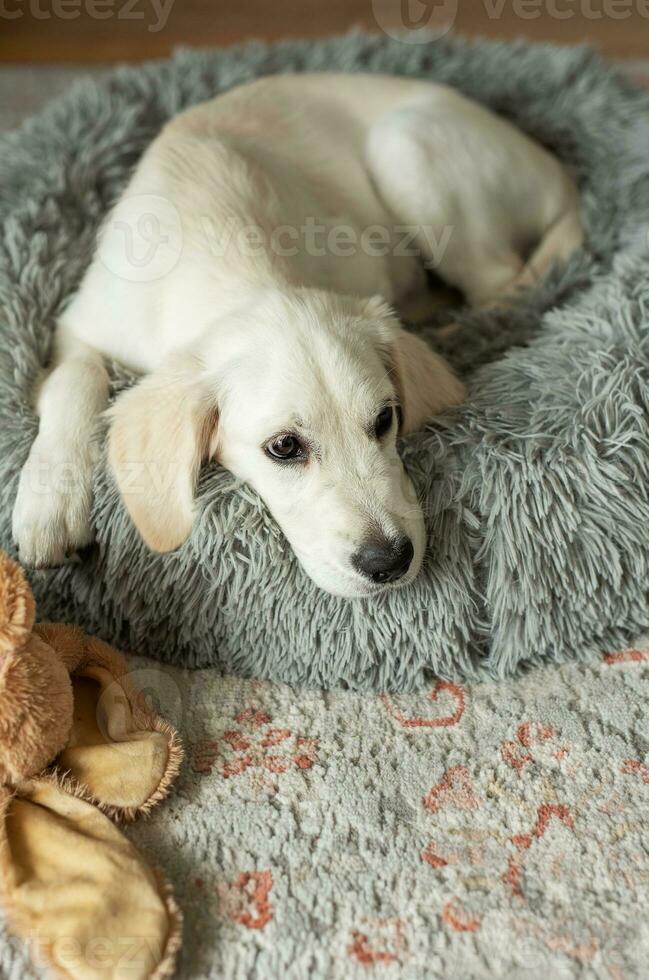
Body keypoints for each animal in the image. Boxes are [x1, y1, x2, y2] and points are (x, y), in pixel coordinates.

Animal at [12, 71, 584, 596]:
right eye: (284, 447)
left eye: (385, 419)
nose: (390, 562)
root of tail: (560, 174)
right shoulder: (81, 323)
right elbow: (75, 380)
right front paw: (48, 504)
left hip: (405, 147)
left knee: (501, 284)